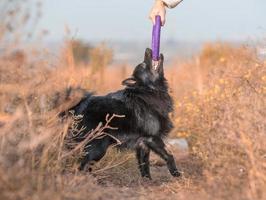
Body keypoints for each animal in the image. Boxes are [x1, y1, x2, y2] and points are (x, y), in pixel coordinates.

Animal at [64, 48, 181, 178]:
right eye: (144, 65)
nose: (147, 49)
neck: (149, 91)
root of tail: (79, 107)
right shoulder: (153, 138)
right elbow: (169, 154)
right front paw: (175, 172)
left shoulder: (143, 143)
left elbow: (144, 164)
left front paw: (147, 180)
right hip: (98, 148)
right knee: (82, 166)